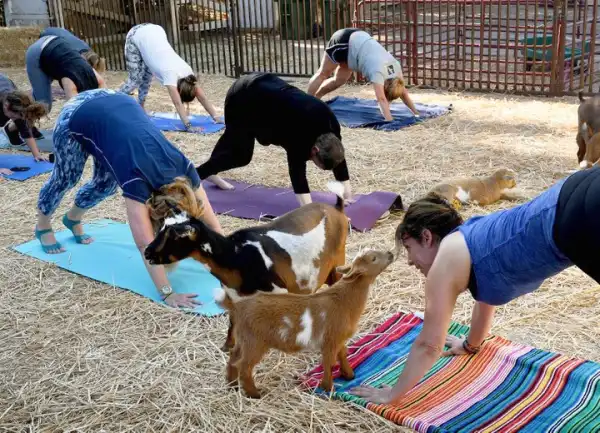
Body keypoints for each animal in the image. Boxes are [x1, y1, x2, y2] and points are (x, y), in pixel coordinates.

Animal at [144, 181, 352, 350]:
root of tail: (336, 207)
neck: (235, 256)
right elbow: (233, 328)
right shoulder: (236, 299)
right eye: (162, 227)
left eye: (175, 236)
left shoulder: (278, 292)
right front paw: (228, 349)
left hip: (337, 261)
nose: (147, 252)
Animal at [213, 248, 396, 396]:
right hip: (255, 343)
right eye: (373, 258)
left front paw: (349, 375)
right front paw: (328, 388)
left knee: (234, 358)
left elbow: (343, 355)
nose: (390, 253)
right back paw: (254, 394)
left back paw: (232, 385)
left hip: (244, 339)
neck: (344, 299)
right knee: (244, 366)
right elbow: (329, 363)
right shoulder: (330, 341)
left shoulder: (339, 339)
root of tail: (238, 306)